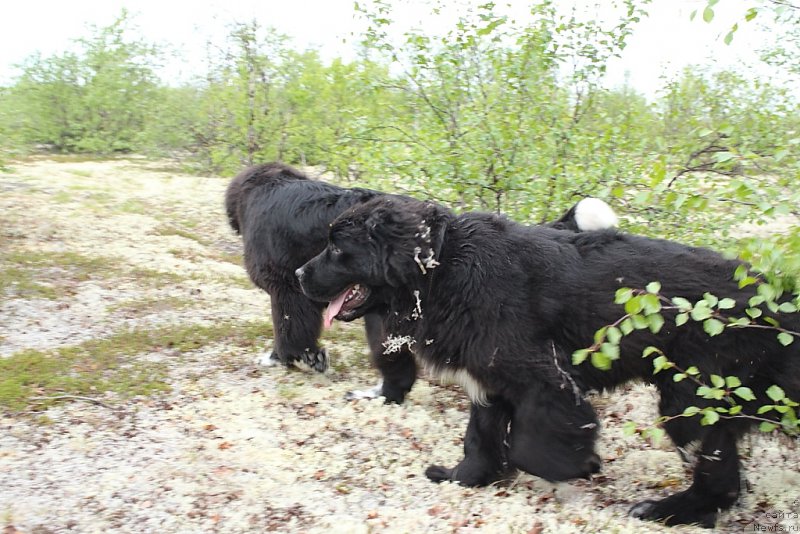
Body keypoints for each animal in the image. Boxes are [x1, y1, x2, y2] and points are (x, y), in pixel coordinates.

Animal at [225, 164, 620, 406]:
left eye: (335, 247)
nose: (301, 274)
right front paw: (312, 359)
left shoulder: (286, 294)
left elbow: (288, 330)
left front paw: (282, 358)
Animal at [298, 195, 800, 528]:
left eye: (337, 249)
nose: (300, 274)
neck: (443, 269)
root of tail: (778, 298)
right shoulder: (488, 379)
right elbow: (480, 438)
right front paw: (466, 478)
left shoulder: (545, 379)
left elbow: (530, 447)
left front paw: (578, 466)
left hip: (692, 396)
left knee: (718, 478)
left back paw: (666, 510)